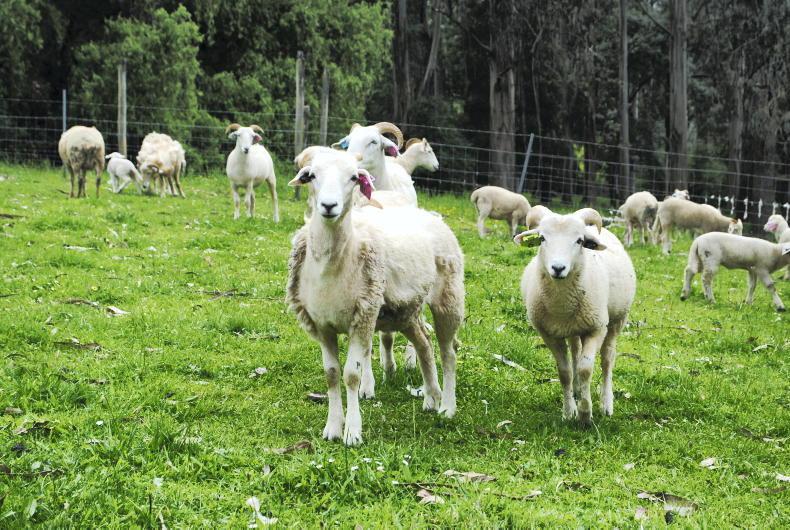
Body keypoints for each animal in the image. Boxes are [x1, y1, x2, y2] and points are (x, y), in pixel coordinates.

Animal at [286, 149, 464, 446]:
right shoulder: (322, 324)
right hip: (405, 311)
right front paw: (332, 427)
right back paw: (431, 396)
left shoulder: (363, 317)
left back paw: (448, 406)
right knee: (425, 344)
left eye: (353, 178)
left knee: (447, 353)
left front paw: (352, 432)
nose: (329, 206)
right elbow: (332, 375)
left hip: (448, 299)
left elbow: (351, 375)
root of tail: (430, 215)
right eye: (312, 176)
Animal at [514, 208, 636, 425]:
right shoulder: (548, 333)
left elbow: (585, 369)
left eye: (579, 240)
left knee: (607, 359)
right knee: (575, 350)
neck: (562, 306)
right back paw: (578, 391)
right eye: (542, 238)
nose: (558, 268)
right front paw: (569, 411)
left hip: (617, 320)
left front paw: (585, 414)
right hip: (574, 328)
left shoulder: (597, 328)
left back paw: (606, 404)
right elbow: (565, 372)